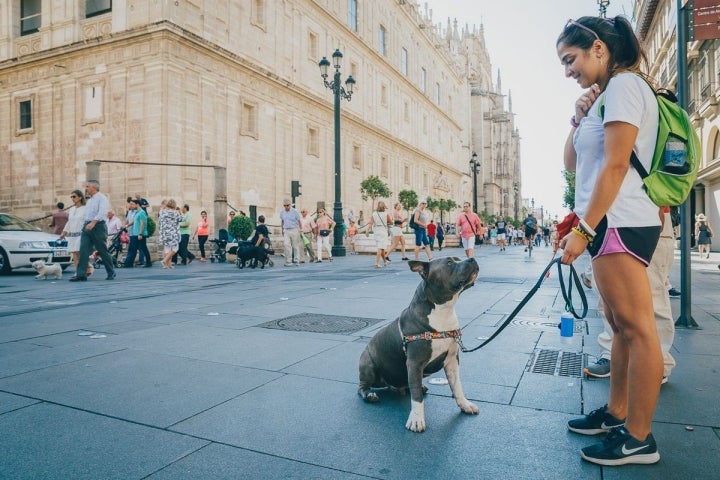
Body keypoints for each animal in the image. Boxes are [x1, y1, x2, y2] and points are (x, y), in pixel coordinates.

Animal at [358, 256, 478, 434]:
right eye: (450, 262)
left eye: (458, 259)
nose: (472, 258)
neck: (443, 311)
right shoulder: (414, 364)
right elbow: (416, 398)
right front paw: (416, 419)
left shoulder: (452, 361)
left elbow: (457, 386)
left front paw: (464, 404)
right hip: (368, 365)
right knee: (362, 387)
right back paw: (369, 395)